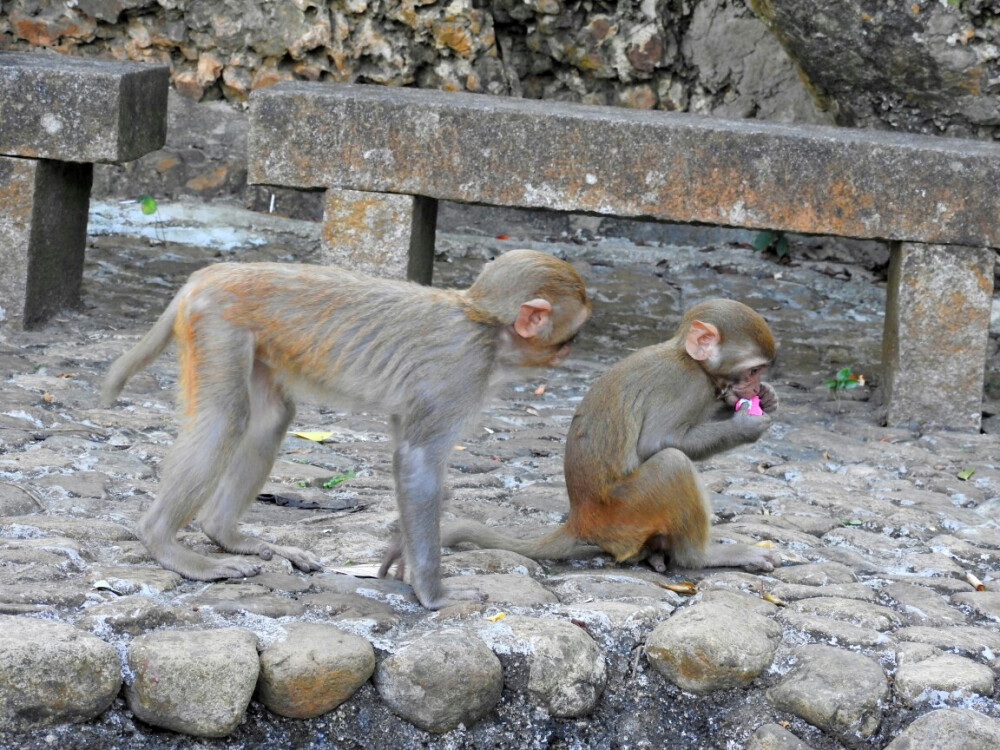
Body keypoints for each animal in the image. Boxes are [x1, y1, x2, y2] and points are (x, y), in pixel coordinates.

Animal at [101, 248, 588, 612]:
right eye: (573, 332)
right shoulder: (460, 375)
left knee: (272, 417)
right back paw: (164, 542)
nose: (573, 350)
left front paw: (400, 552)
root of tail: (208, 274)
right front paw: (432, 593)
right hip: (217, 325)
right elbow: (417, 462)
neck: (482, 322)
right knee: (225, 417)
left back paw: (226, 535)